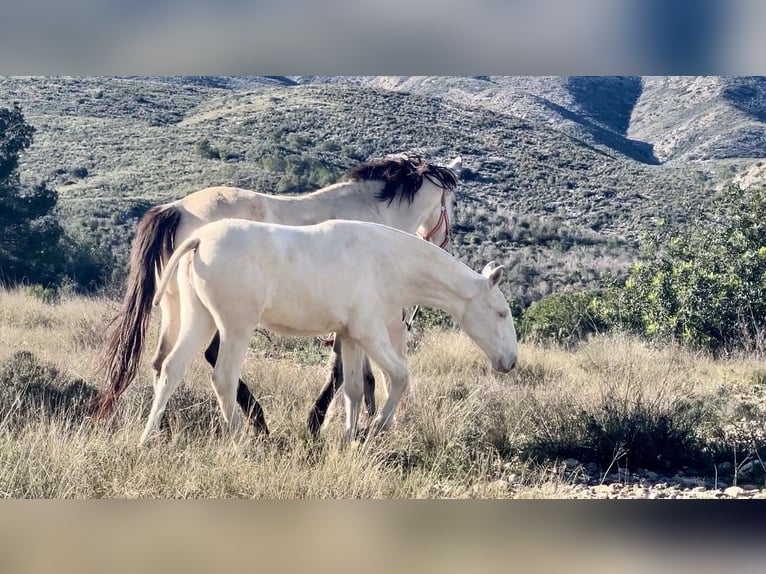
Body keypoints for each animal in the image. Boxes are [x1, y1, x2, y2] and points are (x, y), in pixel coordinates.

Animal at [91, 154, 462, 436]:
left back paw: (163, 428)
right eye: (453, 202)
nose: (444, 243)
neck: (372, 215)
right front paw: (319, 424)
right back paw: (256, 423)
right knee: (212, 360)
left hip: (177, 309)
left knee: (162, 362)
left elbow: (362, 375)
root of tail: (176, 208)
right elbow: (343, 373)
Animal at [141, 218, 520, 448]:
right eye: (501, 313)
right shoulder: (369, 332)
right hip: (235, 328)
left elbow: (353, 389)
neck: (387, 262)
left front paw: (349, 439)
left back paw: (147, 438)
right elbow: (399, 377)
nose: (511, 362)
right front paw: (374, 429)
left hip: (200, 319)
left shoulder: (350, 336)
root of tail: (199, 239)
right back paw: (242, 441)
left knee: (171, 369)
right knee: (223, 378)